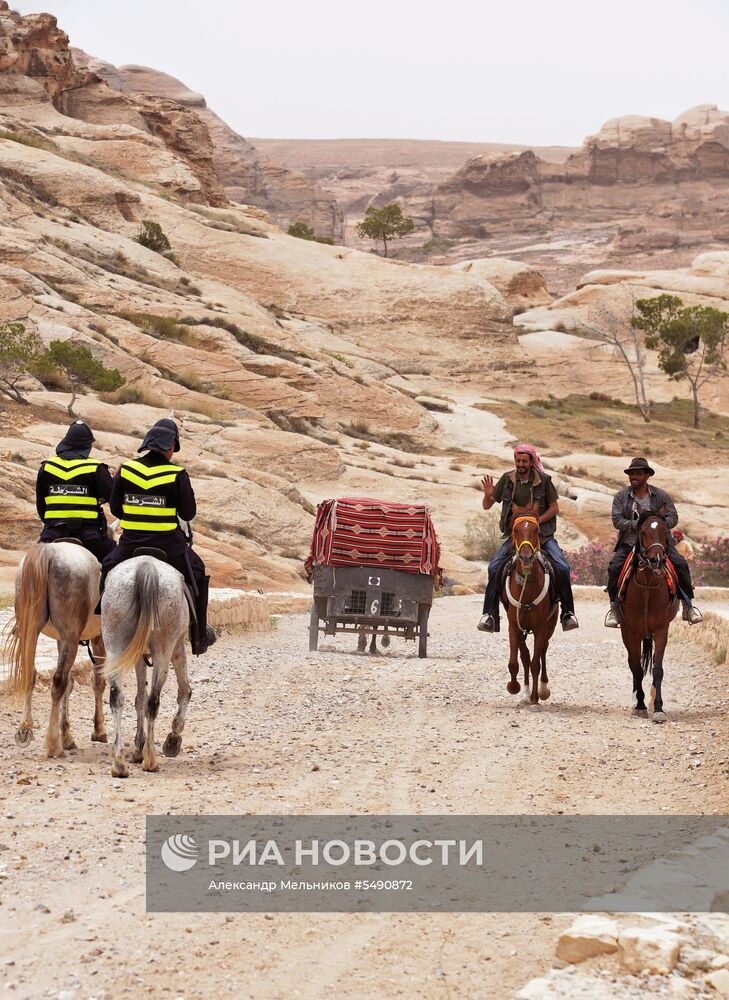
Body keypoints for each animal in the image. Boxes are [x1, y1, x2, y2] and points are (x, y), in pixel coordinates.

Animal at [5, 544, 106, 752]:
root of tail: (48, 551)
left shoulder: (63, 640)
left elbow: (71, 683)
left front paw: (67, 736)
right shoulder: (98, 639)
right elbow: (99, 682)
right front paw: (98, 730)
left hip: (32, 632)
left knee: (32, 674)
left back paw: (25, 727)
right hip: (70, 637)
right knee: (58, 680)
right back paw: (52, 743)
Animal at [104, 560, 193, 776]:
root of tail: (146, 566)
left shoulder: (139, 656)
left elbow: (139, 699)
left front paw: (138, 748)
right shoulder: (178, 647)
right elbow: (184, 690)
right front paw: (173, 737)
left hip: (114, 643)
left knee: (117, 698)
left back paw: (119, 764)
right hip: (164, 648)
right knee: (154, 701)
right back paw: (151, 760)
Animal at [500, 504, 556, 708]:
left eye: (536, 530)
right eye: (515, 529)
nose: (525, 557)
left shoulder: (540, 627)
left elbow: (535, 663)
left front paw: (535, 697)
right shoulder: (513, 625)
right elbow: (515, 661)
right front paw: (514, 687)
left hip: (550, 625)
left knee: (542, 651)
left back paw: (543, 689)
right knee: (524, 655)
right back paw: (524, 692)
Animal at [616, 512, 680, 724]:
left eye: (664, 531)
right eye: (643, 532)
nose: (656, 560)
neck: (647, 586)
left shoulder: (661, 630)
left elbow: (658, 668)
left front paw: (658, 708)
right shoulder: (632, 632)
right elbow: (636, 668)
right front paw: (640, 705)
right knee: (634, 665)